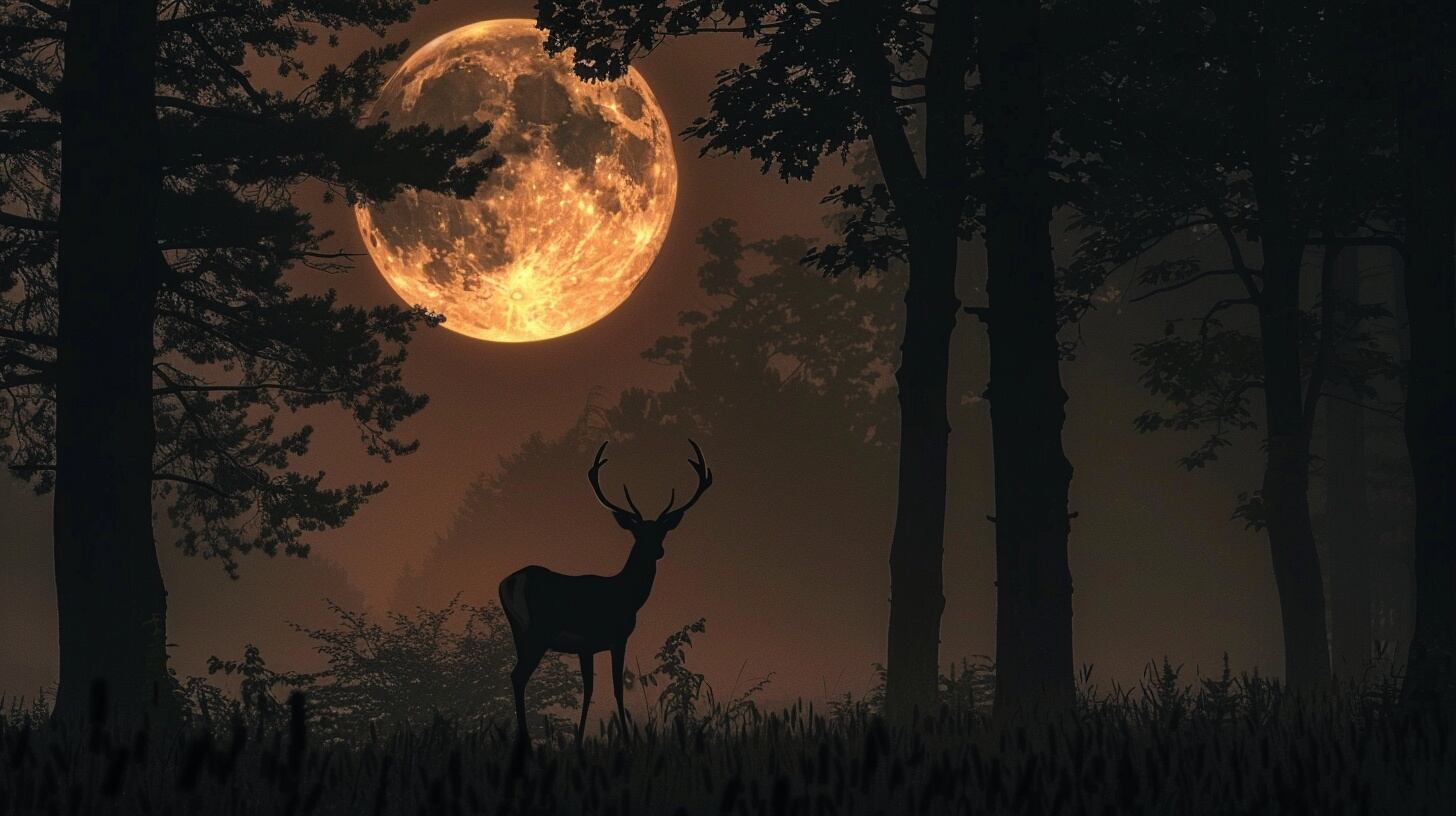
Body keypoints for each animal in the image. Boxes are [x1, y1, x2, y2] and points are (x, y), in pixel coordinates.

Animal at [498, 439, 713, 748]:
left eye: (662, 531)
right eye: (637, 532)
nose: (657, 550)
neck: (626, 596)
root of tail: (512, 581)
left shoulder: (586, 646)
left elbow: (588, 689)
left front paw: (578, 741)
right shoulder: (616, 636)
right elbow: (615, 688)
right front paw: (626, 738)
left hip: (518, 630)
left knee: (516, 675)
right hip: (539, 631)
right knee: (518, 676)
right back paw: (525, 740)